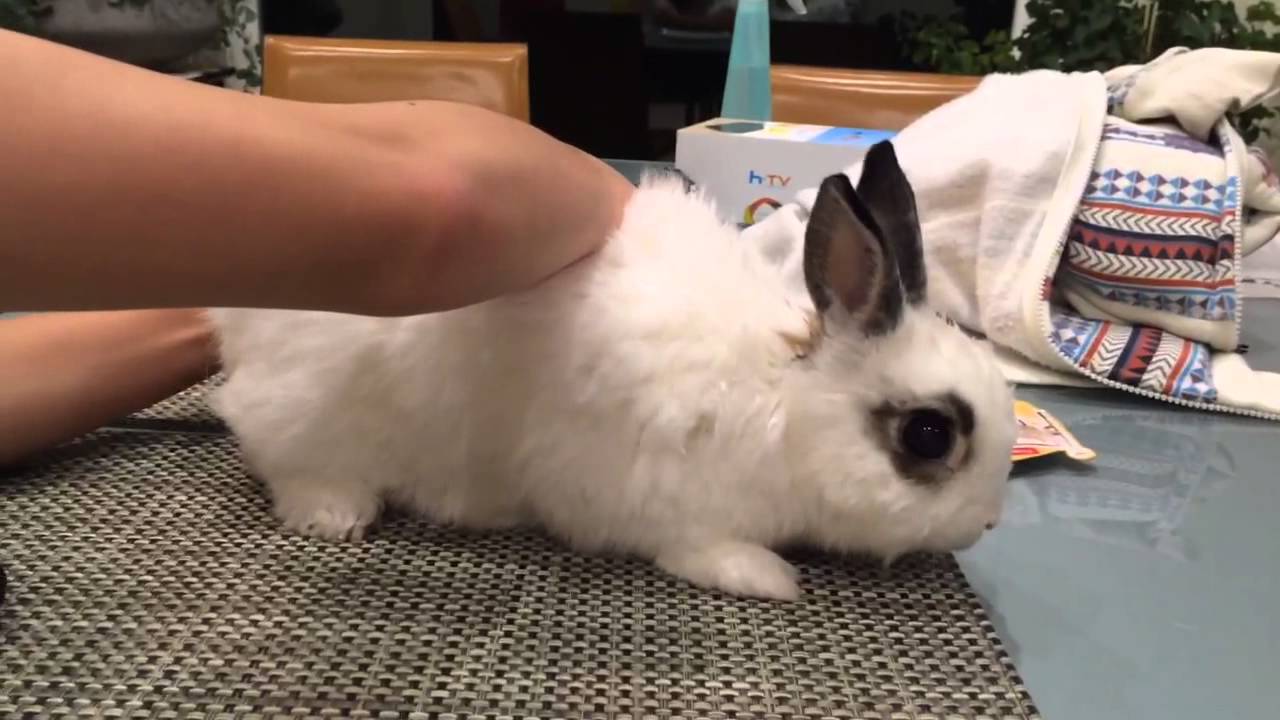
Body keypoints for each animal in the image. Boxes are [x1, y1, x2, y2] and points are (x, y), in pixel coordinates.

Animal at [207, 141, 1017, 601]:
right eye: (928, 434)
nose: (987, 523)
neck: (786, 406)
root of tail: (239, 319)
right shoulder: (652, 493)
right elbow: (694, 548)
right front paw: (768, 578)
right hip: (312, 413)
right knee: (286, 457)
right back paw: (336, 512)